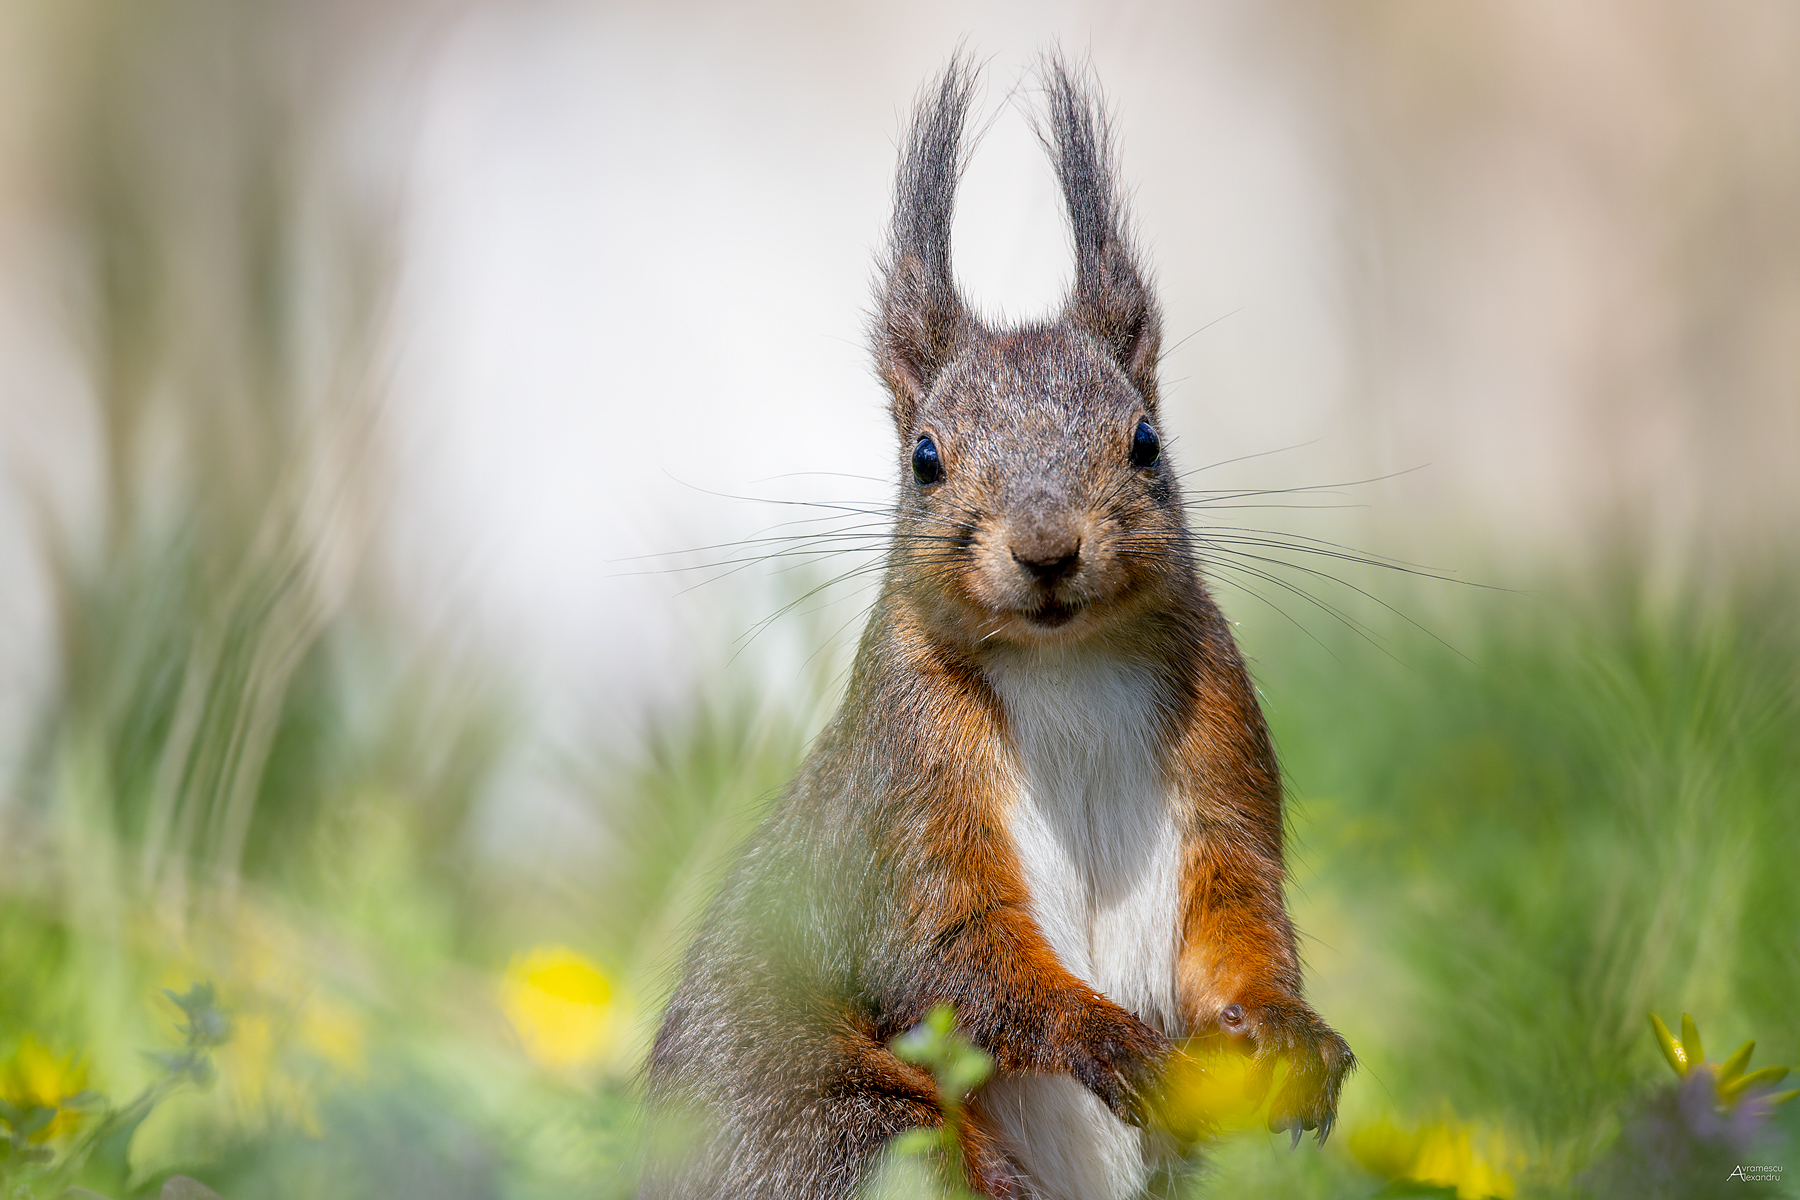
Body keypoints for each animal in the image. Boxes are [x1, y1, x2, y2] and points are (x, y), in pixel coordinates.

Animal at [642, 56, 1353, 1200]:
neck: (1066, 666)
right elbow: (955, 957)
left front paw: (1292, 1033)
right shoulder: (903, 795)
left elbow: (1239, 919)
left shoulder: (1222, 756)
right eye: (926, 459)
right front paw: (1110, 1044)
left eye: (1146, 441)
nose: (1047, 548)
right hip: (852, 1137)